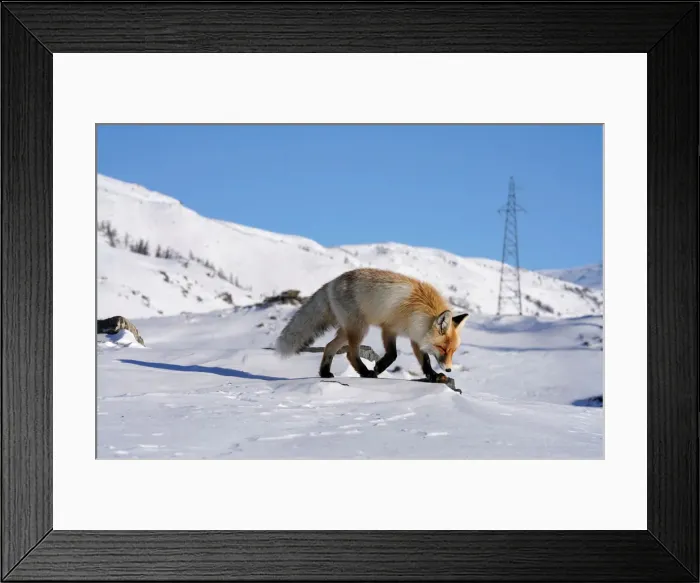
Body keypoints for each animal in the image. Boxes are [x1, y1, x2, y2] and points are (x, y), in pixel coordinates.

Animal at [274, 267, 468, 382]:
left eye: (453, 351)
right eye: (442, 349)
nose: (449, 369)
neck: (419, 312)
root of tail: (331, 282)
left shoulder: (416, 337)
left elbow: (425, 360)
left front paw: (433, 376)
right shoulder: (389, 328)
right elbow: (393, 354)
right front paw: (378, 367)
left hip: (347, 330)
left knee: (329, 346)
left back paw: (325, 373)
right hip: (360, 328)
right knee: (350, 354)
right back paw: (365, 372)